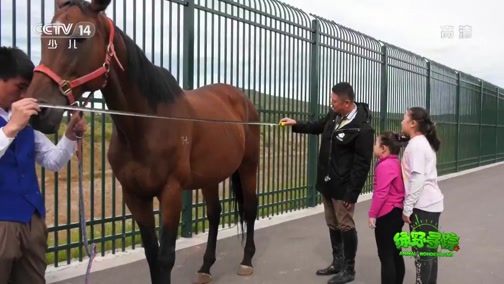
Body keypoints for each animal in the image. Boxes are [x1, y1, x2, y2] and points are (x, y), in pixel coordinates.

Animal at [24, 1, 260, 282]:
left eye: (80, 37)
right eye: (44, 36)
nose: (39, 112)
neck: (147, 125)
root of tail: (241, 98)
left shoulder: (171, 193)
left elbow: (165, 257)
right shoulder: (134, 196)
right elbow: (151, 254)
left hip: (248, 166)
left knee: (250, 208)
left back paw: (247, 261)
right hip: (210, 176)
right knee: (214, 214)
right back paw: (205, 267)